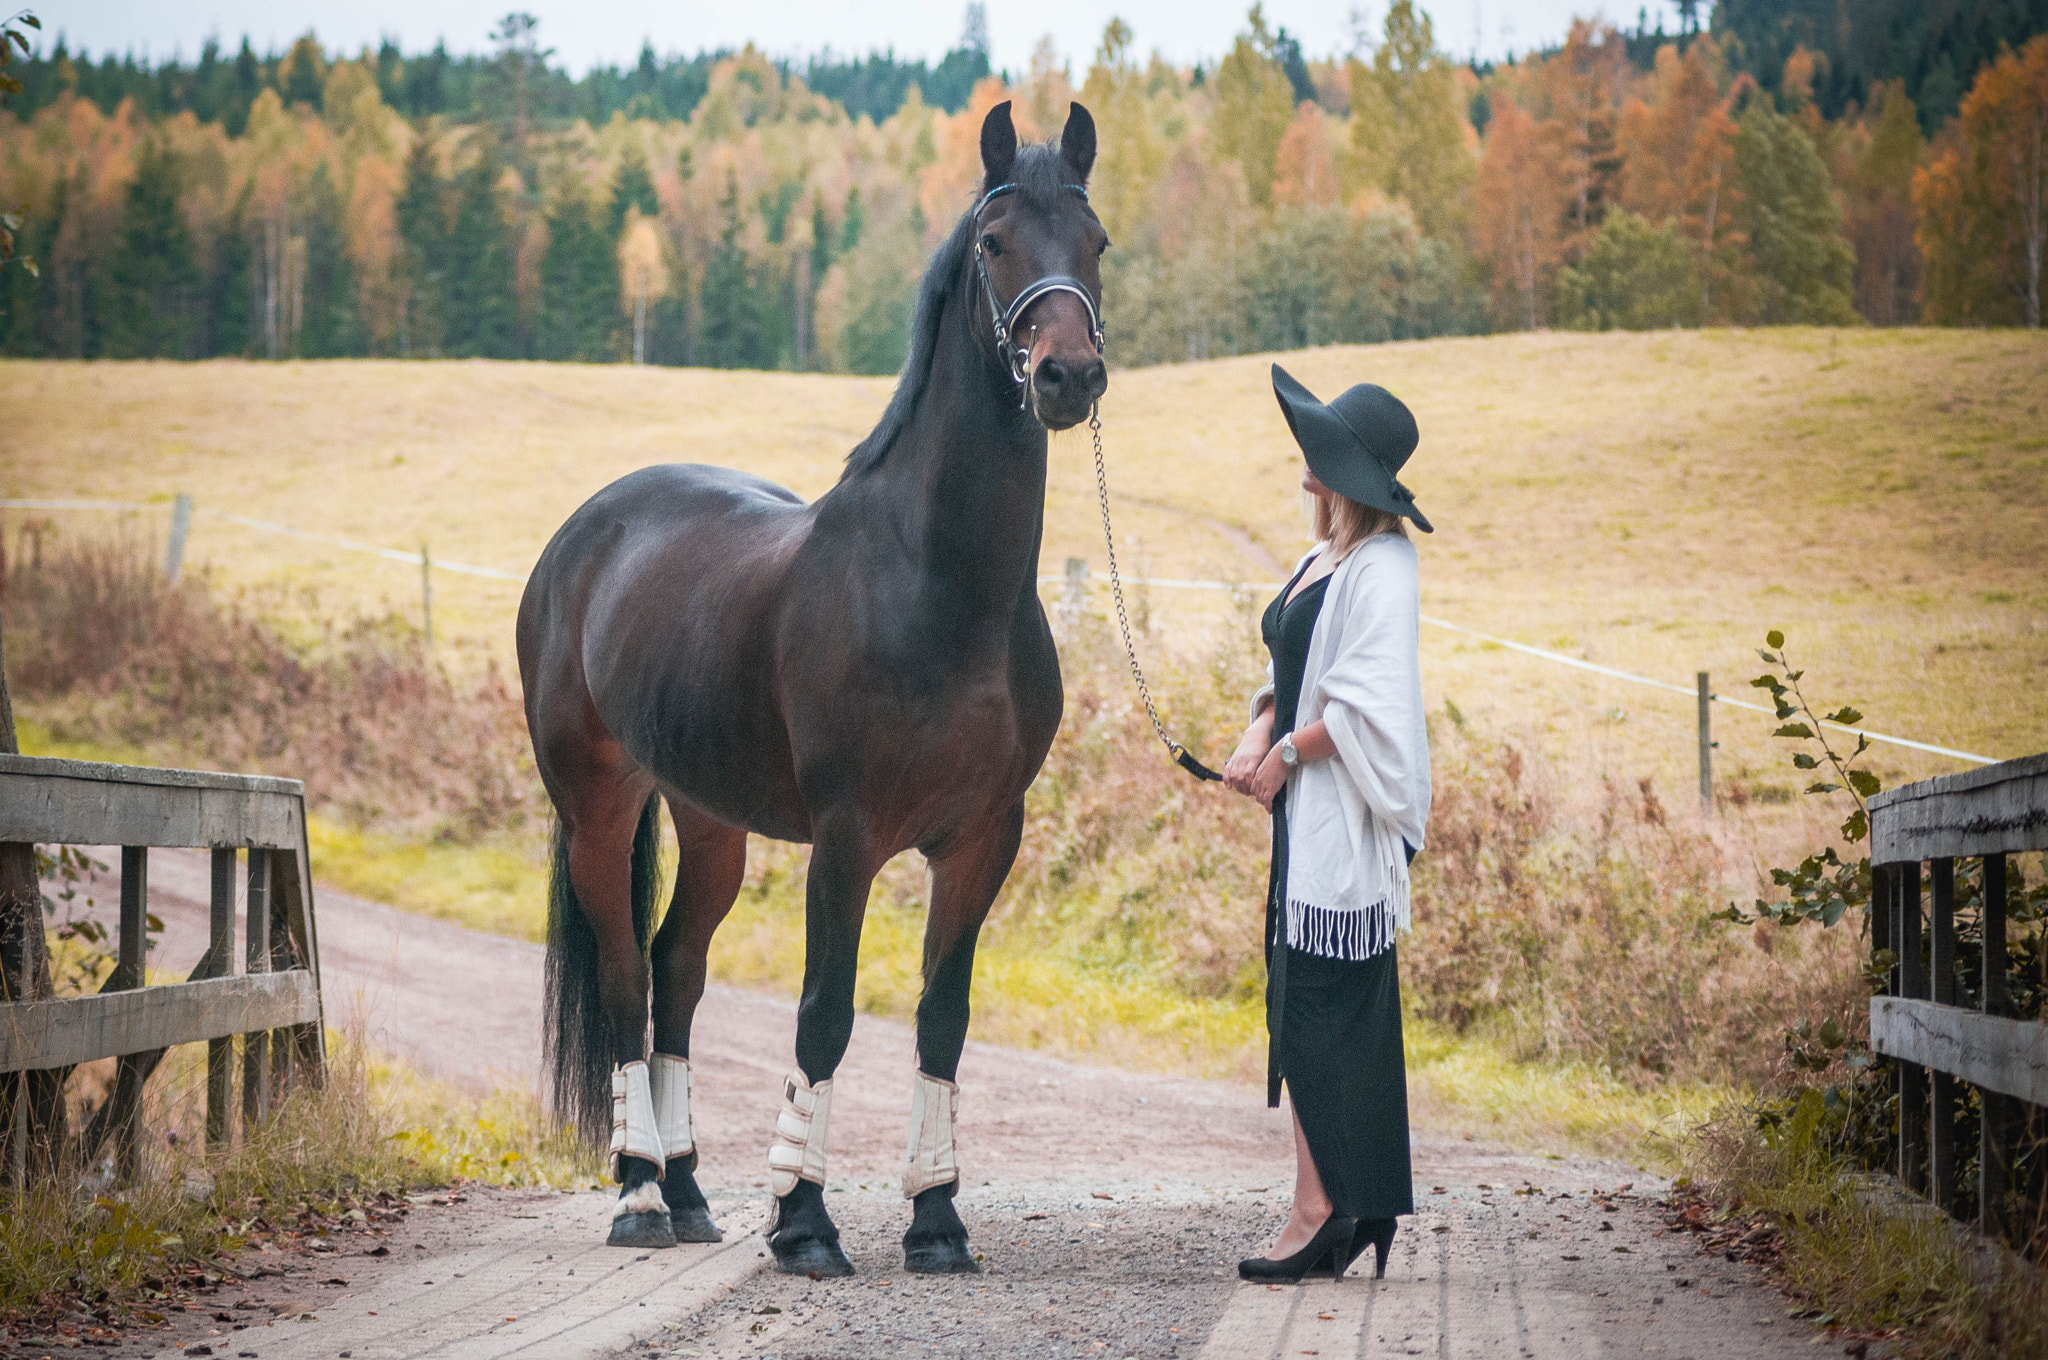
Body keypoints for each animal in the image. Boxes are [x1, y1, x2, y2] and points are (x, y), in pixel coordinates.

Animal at [520, 98, 1114, 1278]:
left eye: (1098, 242)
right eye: (993, 243)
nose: (1066, 375)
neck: (939, 586)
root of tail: (586, 532)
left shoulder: (985, 838)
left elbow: (941, 1018)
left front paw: (937, 1221)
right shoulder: (845, 838)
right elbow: (824, 1014)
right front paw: (803, 1221)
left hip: (709, 818)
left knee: (676, 968)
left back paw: (690, 1191)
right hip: (595, 806)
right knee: (621, 975)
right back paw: (639, 1195)